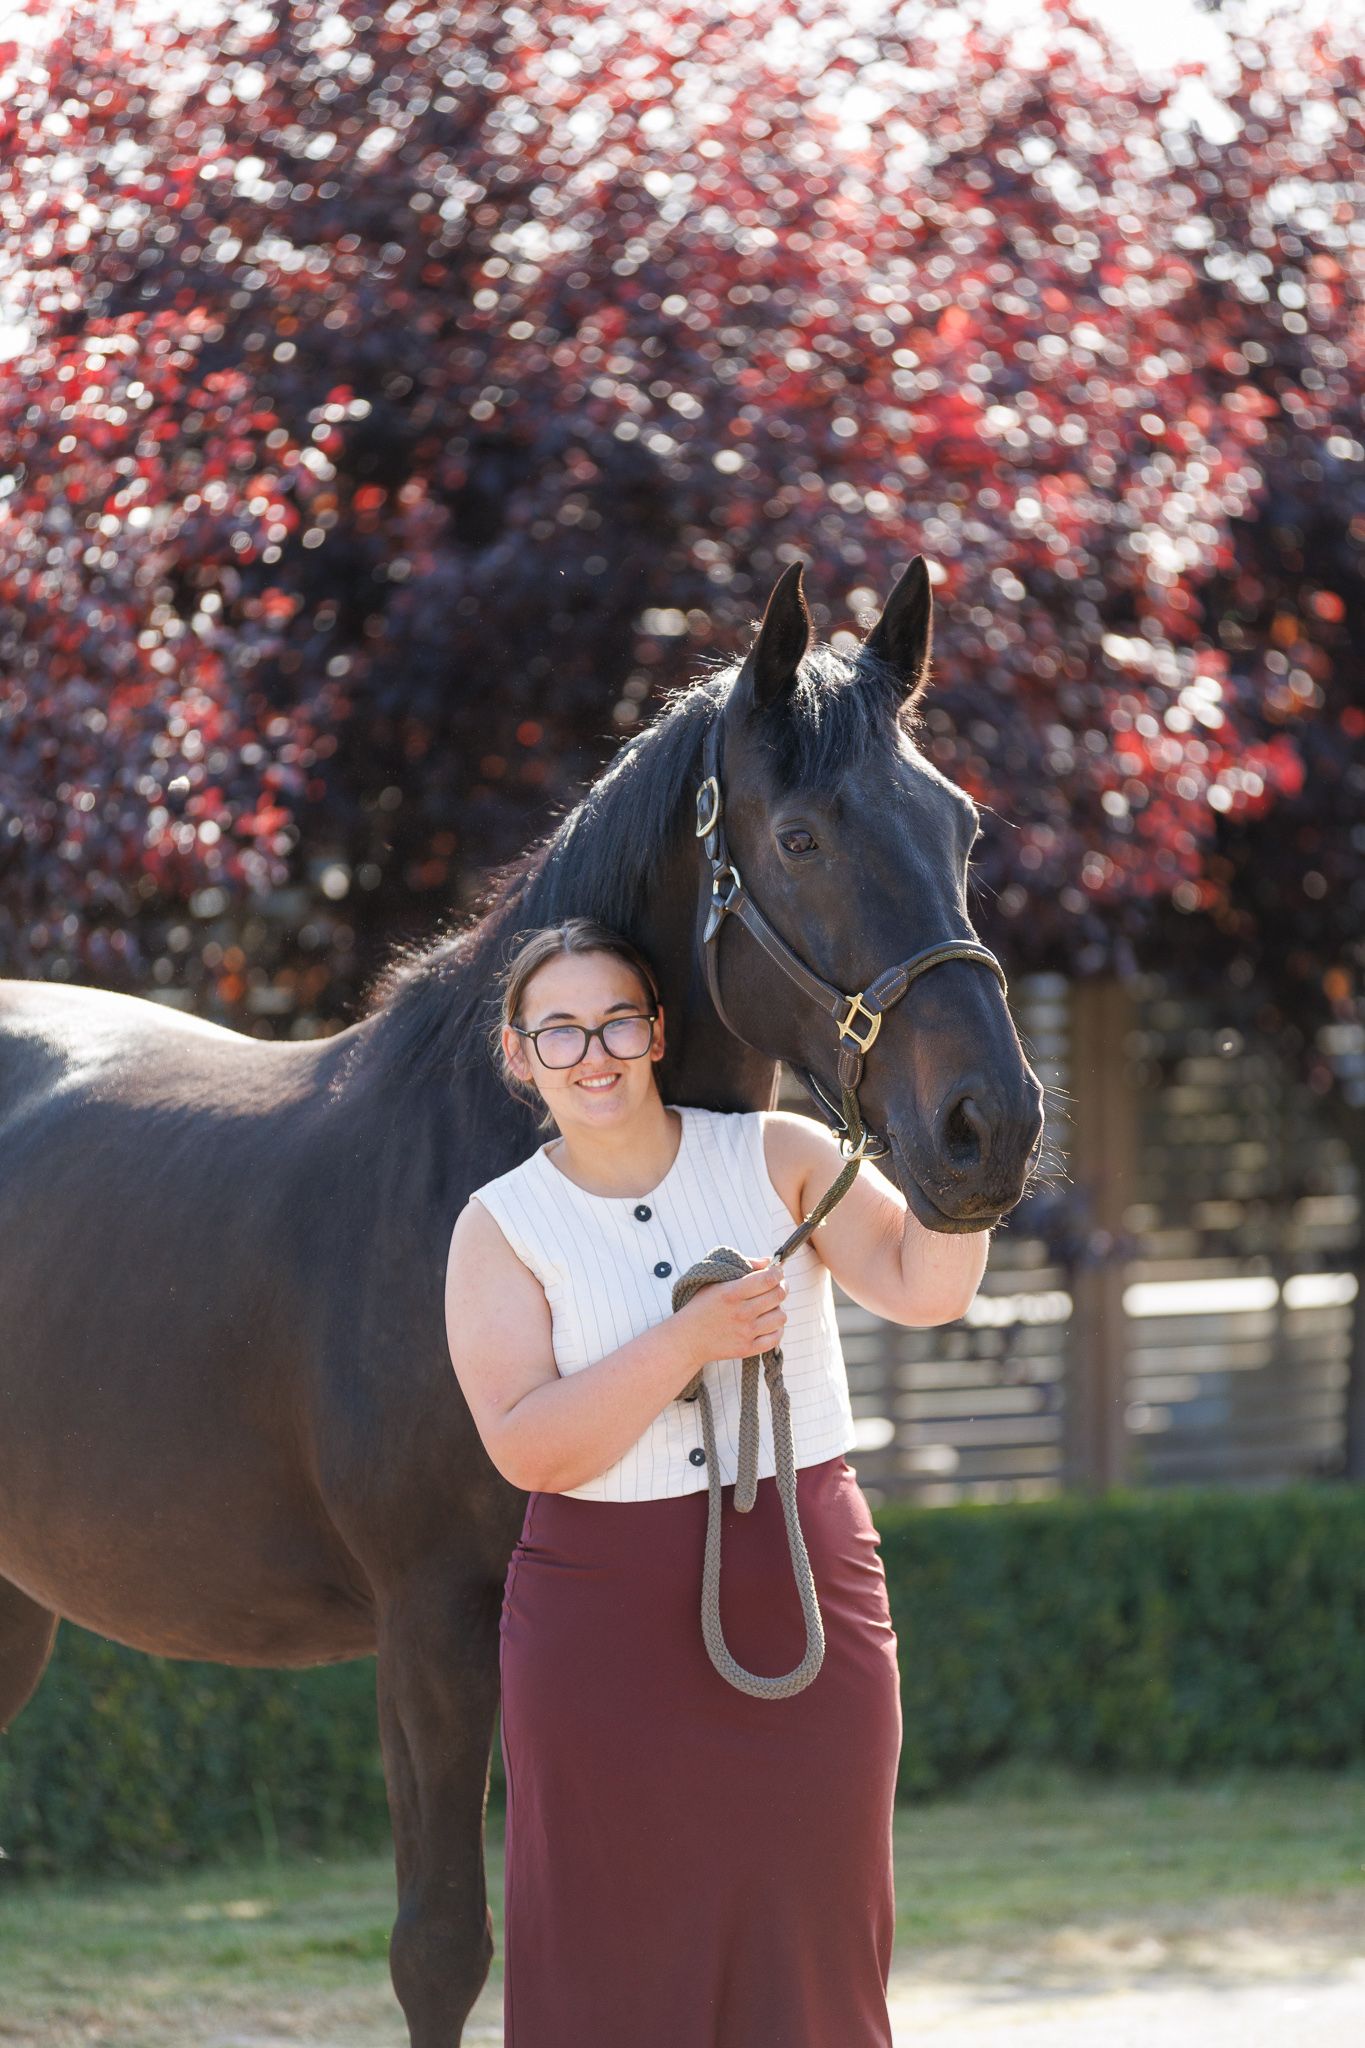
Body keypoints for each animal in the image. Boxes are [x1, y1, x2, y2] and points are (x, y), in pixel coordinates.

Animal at [0, 556, 1044, 2043]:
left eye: (958, 825)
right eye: (800, 839)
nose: (987, 1128)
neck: (471, 1151)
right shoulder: (432, 1626)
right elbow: (441, 1946)